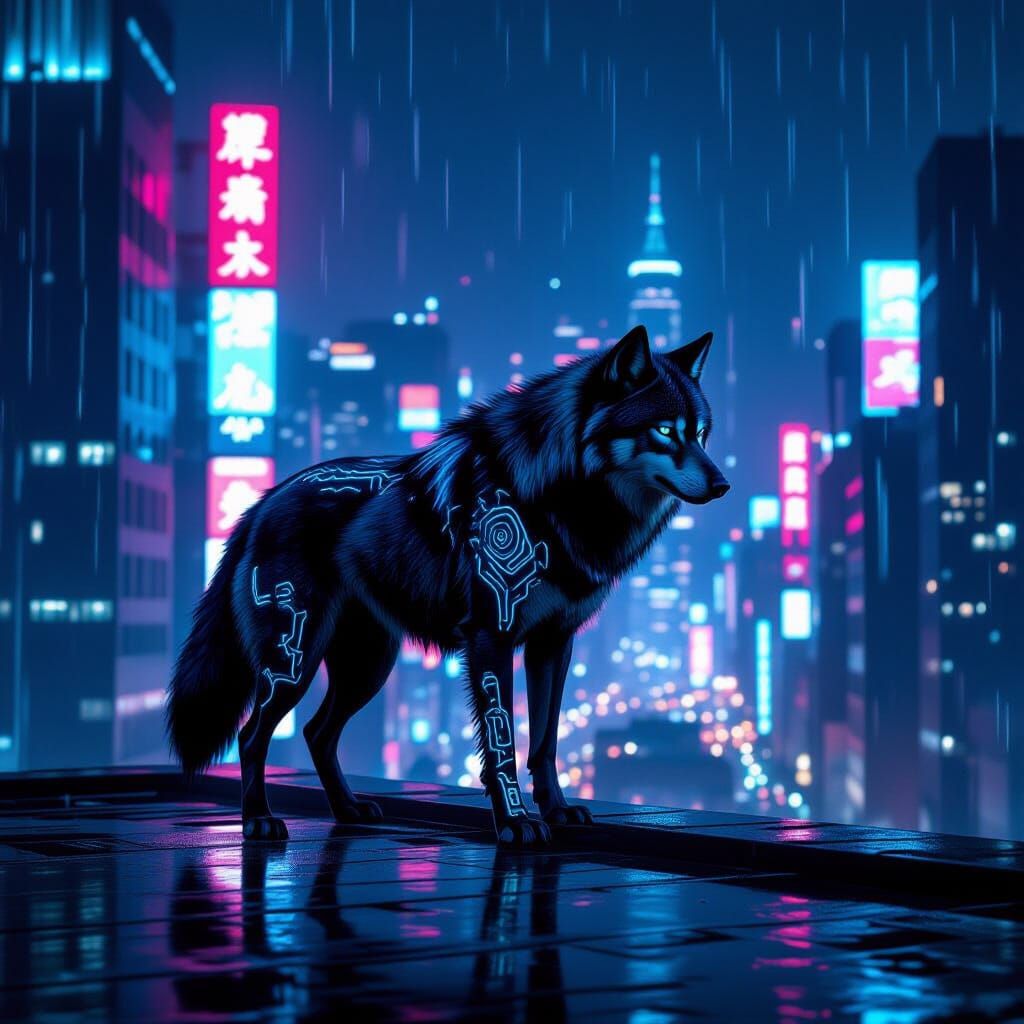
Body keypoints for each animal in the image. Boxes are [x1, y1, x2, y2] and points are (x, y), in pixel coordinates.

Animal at [166, 324, 729, 846]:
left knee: (315, 732)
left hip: (368, 668)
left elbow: (544, 742)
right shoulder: (491, 636)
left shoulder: (553, 642)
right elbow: (502, 743)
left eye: (702, 434)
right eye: (665, 430)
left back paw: (349, 810)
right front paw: (515, 823)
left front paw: (556, 811)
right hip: (294, 662)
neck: (559, 496)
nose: (723, 485)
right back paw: (258, 820)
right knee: (252, 735)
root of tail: (263, 501)